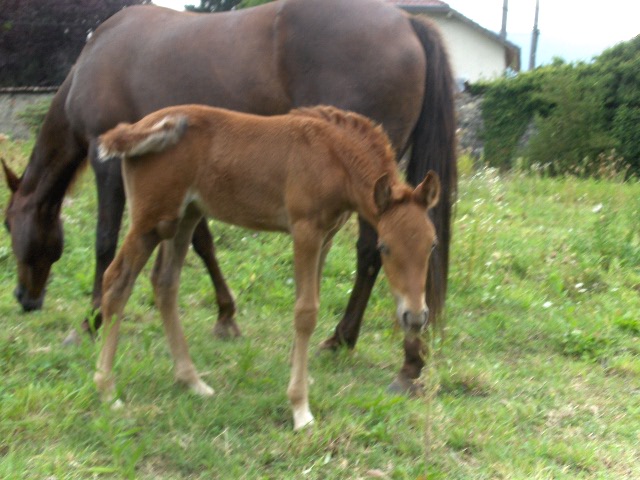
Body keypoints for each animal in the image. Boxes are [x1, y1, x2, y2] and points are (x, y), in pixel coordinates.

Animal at [2, 0, 458, 394]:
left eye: (7, 224)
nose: (25, 298)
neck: (94, 57)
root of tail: (406, 19)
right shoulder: (188, 190)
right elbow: (203, 244)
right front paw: (226, 316)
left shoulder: (109, 165)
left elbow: (104, 243)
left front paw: (90, 322)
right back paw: (374, 348)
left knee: (369, 254)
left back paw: (375, 350)